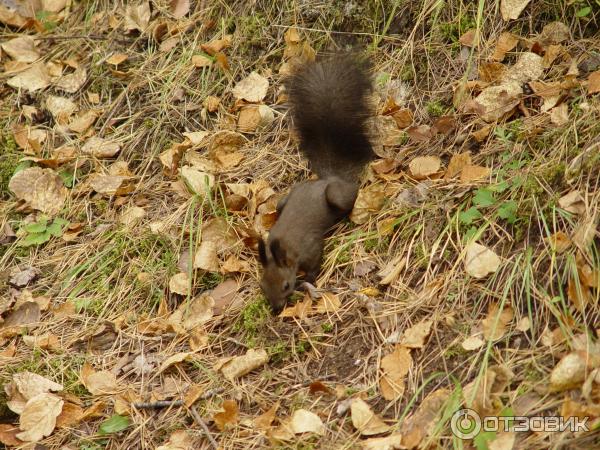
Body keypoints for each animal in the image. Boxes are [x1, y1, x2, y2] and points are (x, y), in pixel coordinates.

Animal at [256, 54, 372, 312]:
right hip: (285, 199)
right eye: (262, 287)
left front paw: (309, 279)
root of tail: (328, 178)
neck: (285, 249)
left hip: (337, 196)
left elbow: (315, 261)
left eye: (286, 285)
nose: (276, 309)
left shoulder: (310, 247)